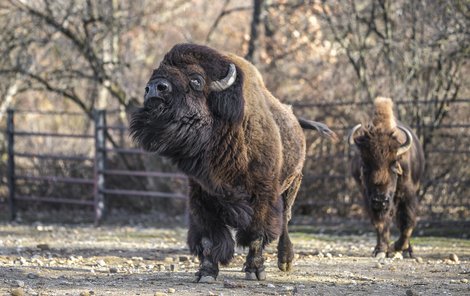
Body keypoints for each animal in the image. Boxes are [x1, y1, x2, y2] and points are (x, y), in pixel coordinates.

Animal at [130, 43, 336, 282]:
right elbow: (208, 238)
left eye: (196, 80)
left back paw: (284, 261)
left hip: (292, 185)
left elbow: (256, 234)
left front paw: (255, 271)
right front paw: (206, 273)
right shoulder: (202, 196)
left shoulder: (262, 195)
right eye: (156, 73)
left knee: (285, 219)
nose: (154, 88)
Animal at [346, 97, 424, 260]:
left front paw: (398, 247)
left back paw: (407, 251)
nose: (380, 200)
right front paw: (381, 250)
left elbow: (407, 223)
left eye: (394, 164)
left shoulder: (408, 194)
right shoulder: (368, 198)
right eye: (365, 164)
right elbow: (380, 223)